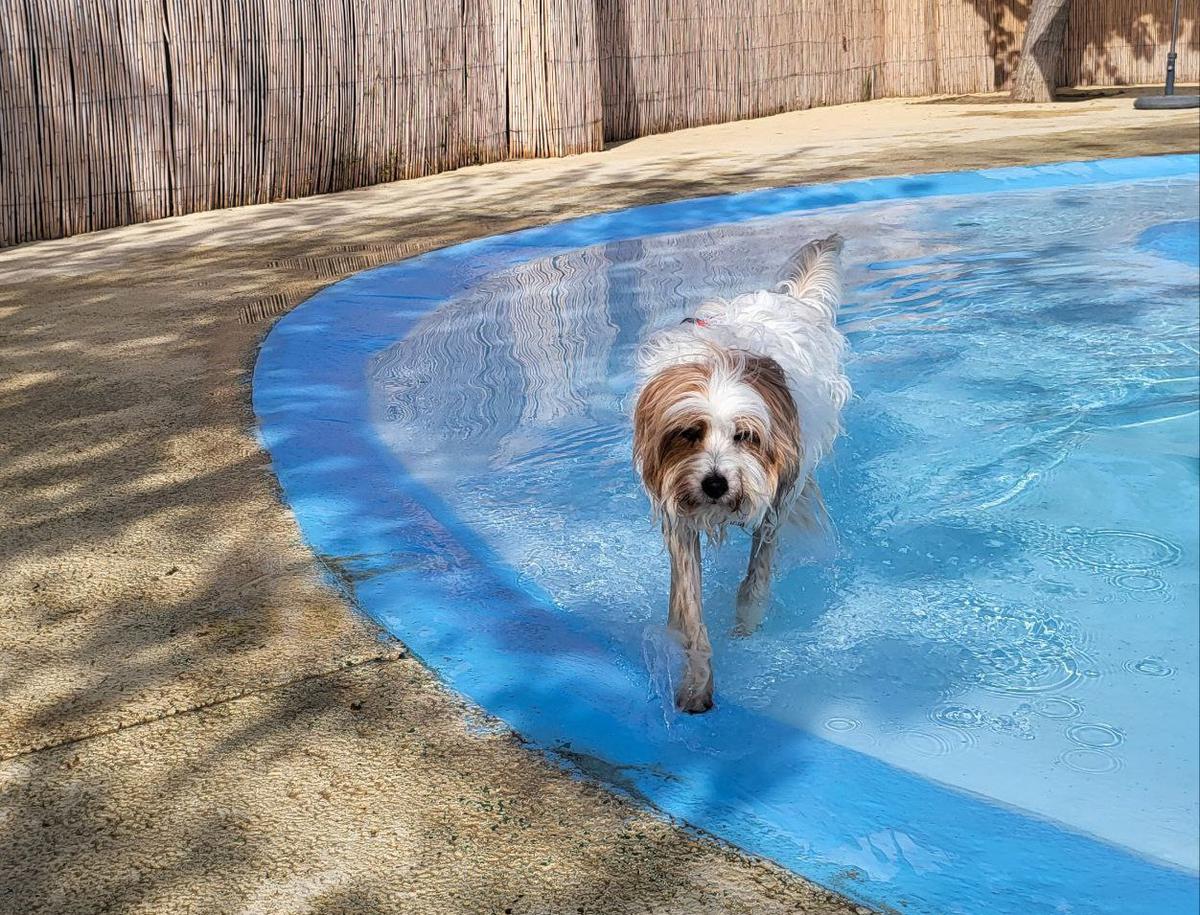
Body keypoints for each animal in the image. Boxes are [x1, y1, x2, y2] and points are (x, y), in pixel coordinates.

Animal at [628, 231, 854, 710]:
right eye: (689, 432)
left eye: (745, 436)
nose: (715, 483)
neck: (718, 363)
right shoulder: (679, 517)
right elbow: (690, 611)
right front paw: (696, 681)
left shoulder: (773, 505)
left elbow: (755, 580)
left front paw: (747, 625)